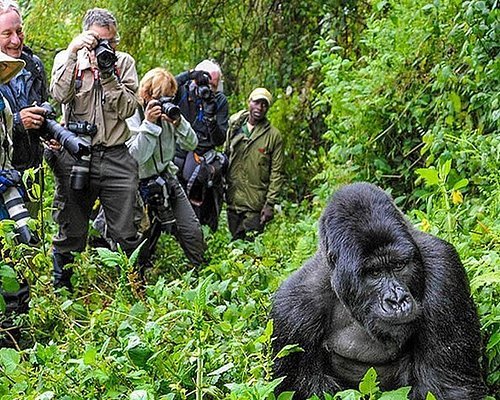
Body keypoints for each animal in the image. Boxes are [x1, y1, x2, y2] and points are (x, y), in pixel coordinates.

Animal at [272, 184, 486, 400]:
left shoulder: (444, 268)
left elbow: (445, 386)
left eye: (399, 265)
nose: (397, 300)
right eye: (374, 273)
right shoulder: (292, 311)